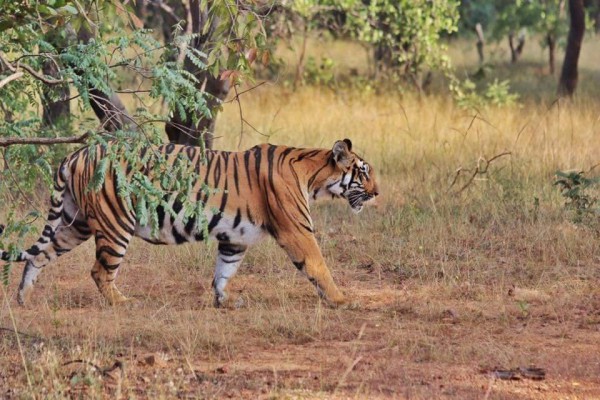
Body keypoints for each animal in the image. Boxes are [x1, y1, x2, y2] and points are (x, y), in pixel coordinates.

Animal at [0, 138, 380, 306]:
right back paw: (123, 302)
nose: (377, 193)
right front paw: (342, 299)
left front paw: (225, 300)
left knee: (39, 255)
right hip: (115, 223)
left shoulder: (235, 237)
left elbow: (224, 269)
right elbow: (318, 265)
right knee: (99, 271)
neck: (313, 174)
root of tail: (78, 152)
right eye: (364, 173)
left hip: (74, 222)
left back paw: (23, 298)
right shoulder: (296, 230)